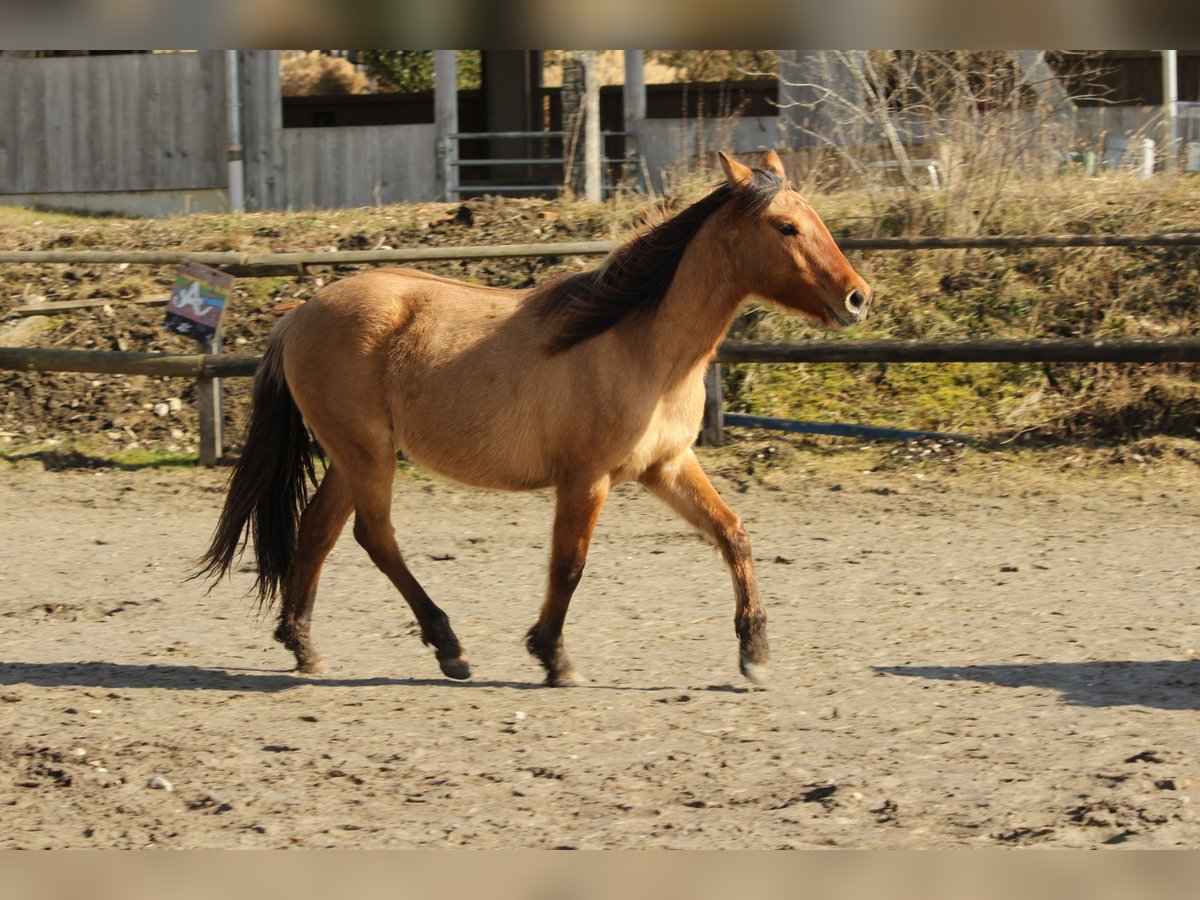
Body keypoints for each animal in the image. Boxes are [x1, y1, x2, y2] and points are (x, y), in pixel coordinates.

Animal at [196, 153, 873, 691]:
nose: (858, 298)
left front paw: (754, 654)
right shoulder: (585, 479)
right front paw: (553, 658)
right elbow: (568, 567)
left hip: (352, 455)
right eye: (785, 226)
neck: (638, 346)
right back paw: (448, 646)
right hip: (367, 455)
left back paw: (304, 646)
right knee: (374, 536)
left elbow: (733, 534)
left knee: (318, 531)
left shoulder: (667, 465)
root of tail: (299, 314)